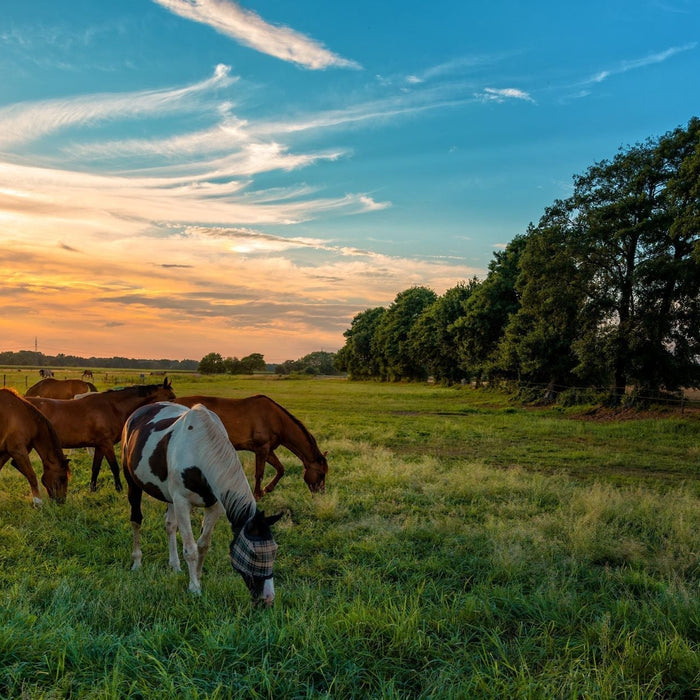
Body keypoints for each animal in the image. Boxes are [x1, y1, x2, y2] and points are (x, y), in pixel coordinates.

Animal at [26, 379, 175, 492]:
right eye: (171, 398)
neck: (112, 407)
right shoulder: (106, 444)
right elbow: (114, 467)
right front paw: (119, 489)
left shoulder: (99, 446)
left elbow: (96, 468)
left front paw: (92, 488)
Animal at [121, 402, 283, 606]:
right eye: (253, 553)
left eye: (275, 550)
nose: (268, 598)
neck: (199, 449)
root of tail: (136, 413)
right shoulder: (182, 503)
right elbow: (190, 549)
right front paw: (194, 588)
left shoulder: (214, 506)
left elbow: (203, 545)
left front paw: (197, 577)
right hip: (133, 483)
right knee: (136, 520)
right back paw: (137, 562)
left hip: (170, 496)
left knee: (170, 525)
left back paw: (175, 565)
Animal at [174, 395, 328, 499]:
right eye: (321, 474)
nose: (321, 494)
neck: (276, 419)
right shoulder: (261, 449)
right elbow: (259, 473)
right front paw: (257, 495)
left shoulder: (268, 450)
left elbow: (280, 469)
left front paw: (266, 489)